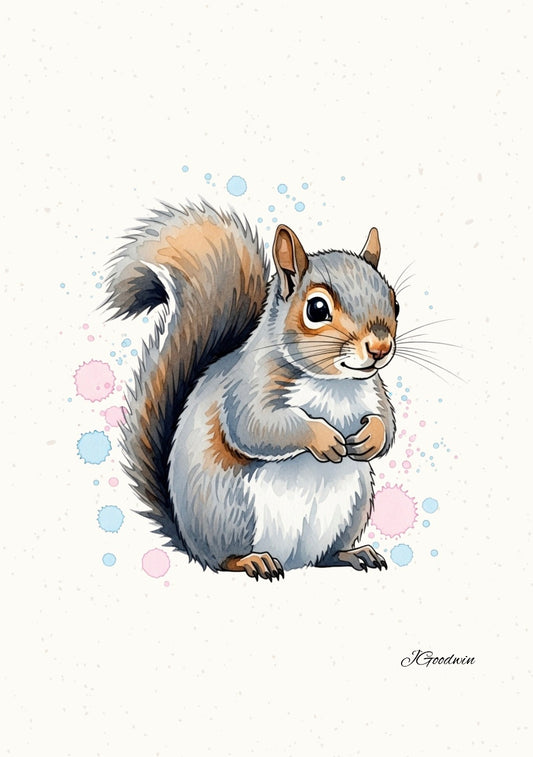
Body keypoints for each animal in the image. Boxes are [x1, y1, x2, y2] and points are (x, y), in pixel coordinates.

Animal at [104, 200, 398, 580]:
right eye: (317, 309)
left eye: (395, 301)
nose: (380, 348)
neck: (334, 383)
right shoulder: (248, 386)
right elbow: (255, 427)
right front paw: (322, 437)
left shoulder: (374, 390)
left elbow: (387, 424)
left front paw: (372, 437)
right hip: (230, 512)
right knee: (223, 560)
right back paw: (252, 561)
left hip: (354, 507)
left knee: (327, 555)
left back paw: (353, 553)